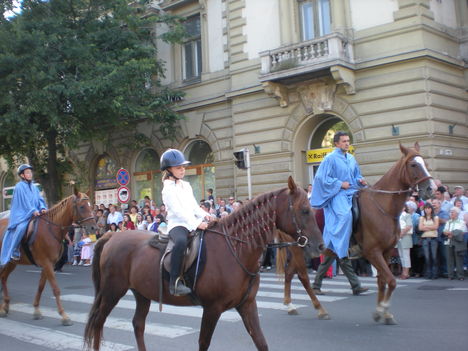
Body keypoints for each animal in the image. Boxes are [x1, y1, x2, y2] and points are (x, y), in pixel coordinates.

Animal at [0, 190, 96, 328]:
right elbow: (56, 289)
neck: (51, 229)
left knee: (3, 277)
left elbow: (40, 287)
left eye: (91, 205)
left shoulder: (48, 264)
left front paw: (36, 310)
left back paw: (5, 306)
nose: (94, 228)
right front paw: (64, 316)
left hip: (11, 262)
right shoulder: (47, 264)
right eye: (82, 206)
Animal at [84, 179, 324, 351]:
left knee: (137, 325)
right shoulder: (212, 308)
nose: (320, 246)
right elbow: (203, 343)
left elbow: (261, 342)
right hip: (112, 291)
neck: (235, 248)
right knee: (98, 322)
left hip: (141, 293)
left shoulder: (247, 305)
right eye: (304, 210)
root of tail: (111, 236)